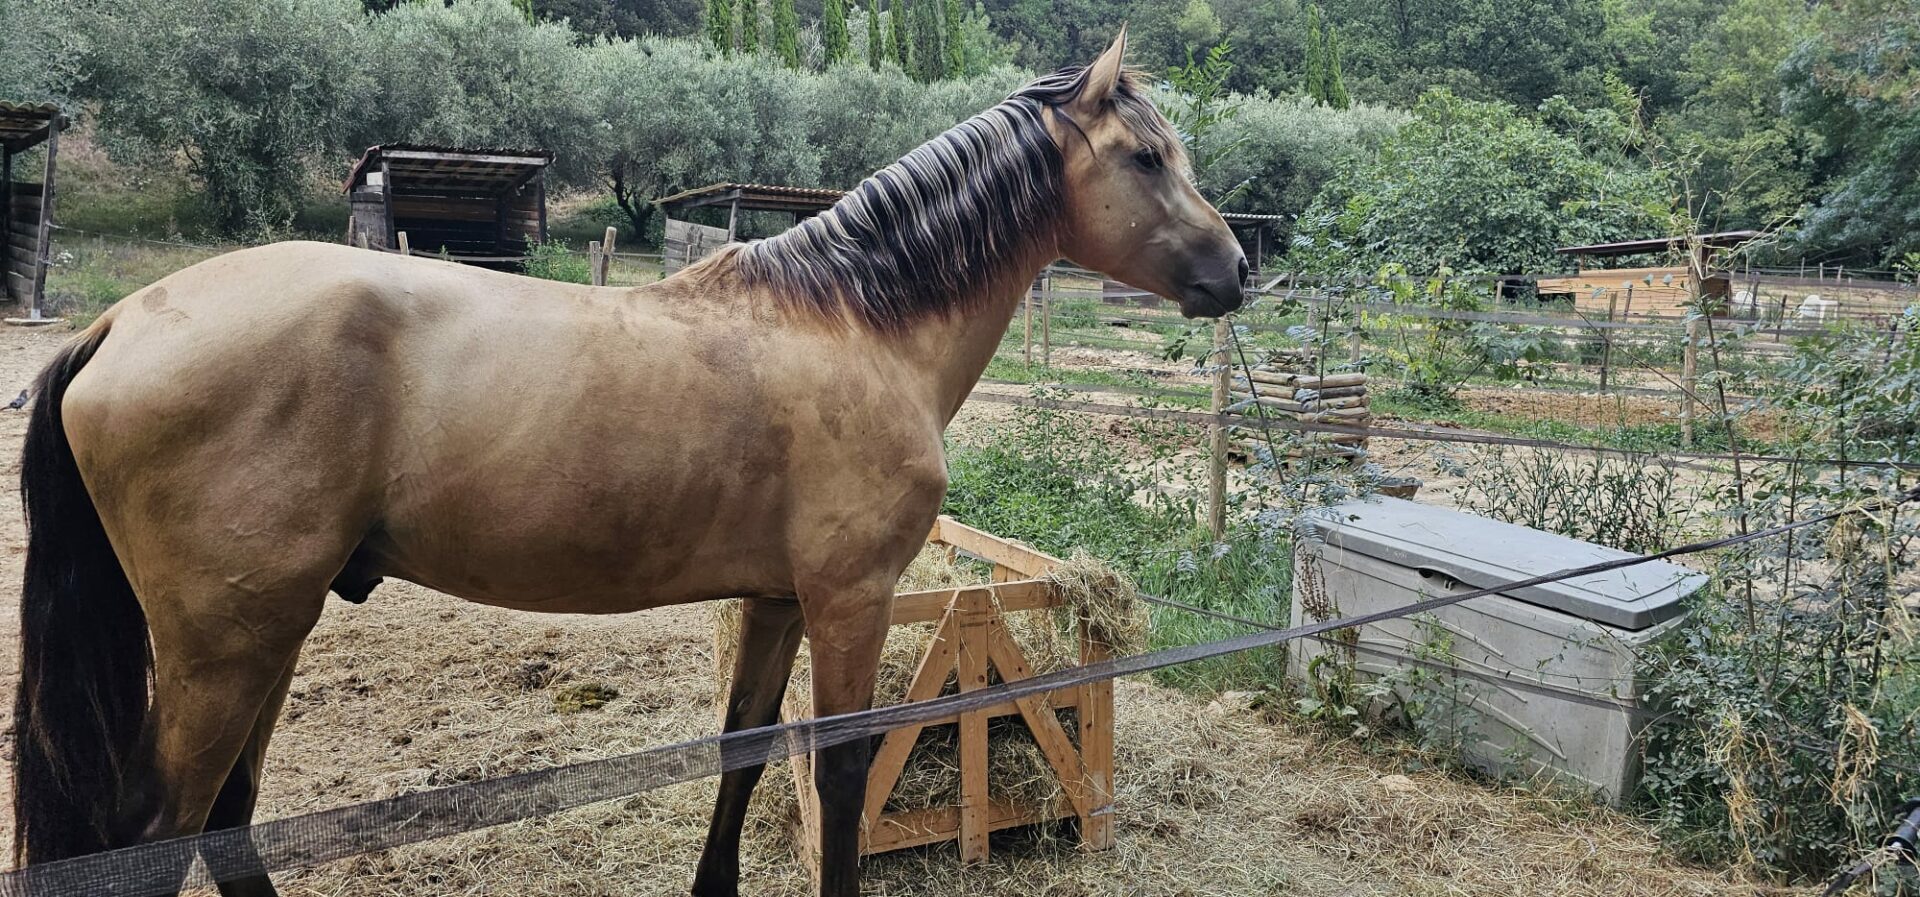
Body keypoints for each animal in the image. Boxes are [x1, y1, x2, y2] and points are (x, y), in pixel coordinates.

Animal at [11, 28, 1244, 897]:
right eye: (1148, 157)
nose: (1237, 270)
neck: (853, 323)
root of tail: (121, 322)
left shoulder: (777, 600)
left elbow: (743, 752)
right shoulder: (849, 600)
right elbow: (840, 774)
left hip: (273, 628)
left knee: (226, 817)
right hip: (230, 643)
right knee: (164, 832)